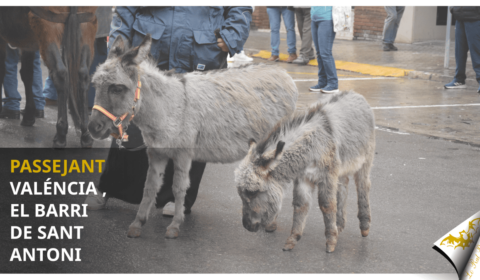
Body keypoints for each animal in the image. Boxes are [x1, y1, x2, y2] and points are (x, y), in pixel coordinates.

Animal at [86, 35, 296, 240]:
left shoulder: (183, 155)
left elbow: (179, 188)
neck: (167, 106)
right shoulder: (156, 152)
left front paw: (174, 226)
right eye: (95, 85)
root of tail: (284, 74)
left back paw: (271, 222)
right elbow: (150, 186)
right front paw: (137, 223)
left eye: (117, 89)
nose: (93, 128)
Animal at [235, 91, 376, 253]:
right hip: (342, 168)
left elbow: (327, 204)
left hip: (365, 161)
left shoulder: (327, 176)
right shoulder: (304, 178)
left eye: (252, 192)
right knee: (343, 187)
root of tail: (356, 94)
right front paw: (293, 239)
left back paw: (364, 226)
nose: (246, 226)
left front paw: (330, 242)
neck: (313, 144)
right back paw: (339, 225)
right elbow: (300, 204)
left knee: (363, 186)